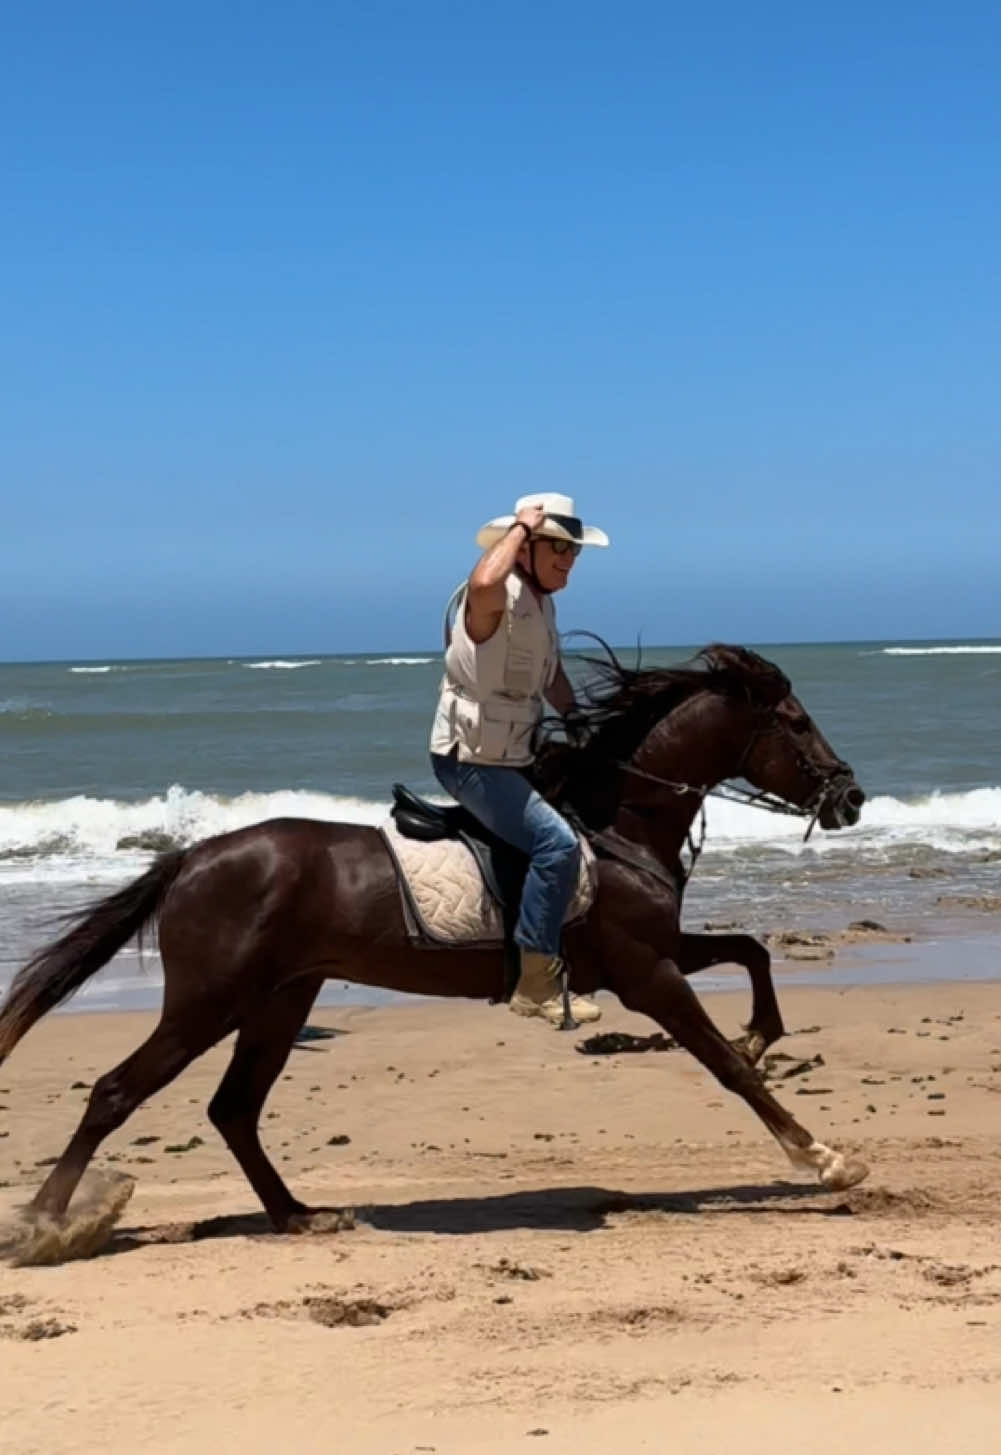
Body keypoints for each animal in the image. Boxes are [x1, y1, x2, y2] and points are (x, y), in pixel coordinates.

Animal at [0, 643, 867, 1233]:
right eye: (796, 722)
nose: (851, 797)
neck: (611, 821)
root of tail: (192, 856)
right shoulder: (646, 972)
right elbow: (727, 1066)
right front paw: (821, 1156)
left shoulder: (655, 951)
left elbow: (751, 950)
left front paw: (762, 1031)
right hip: (209, 1001)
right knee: (118, 1091)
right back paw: (43, 1221)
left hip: (280, 1000)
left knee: (233, 1108)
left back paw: (298, 1213)